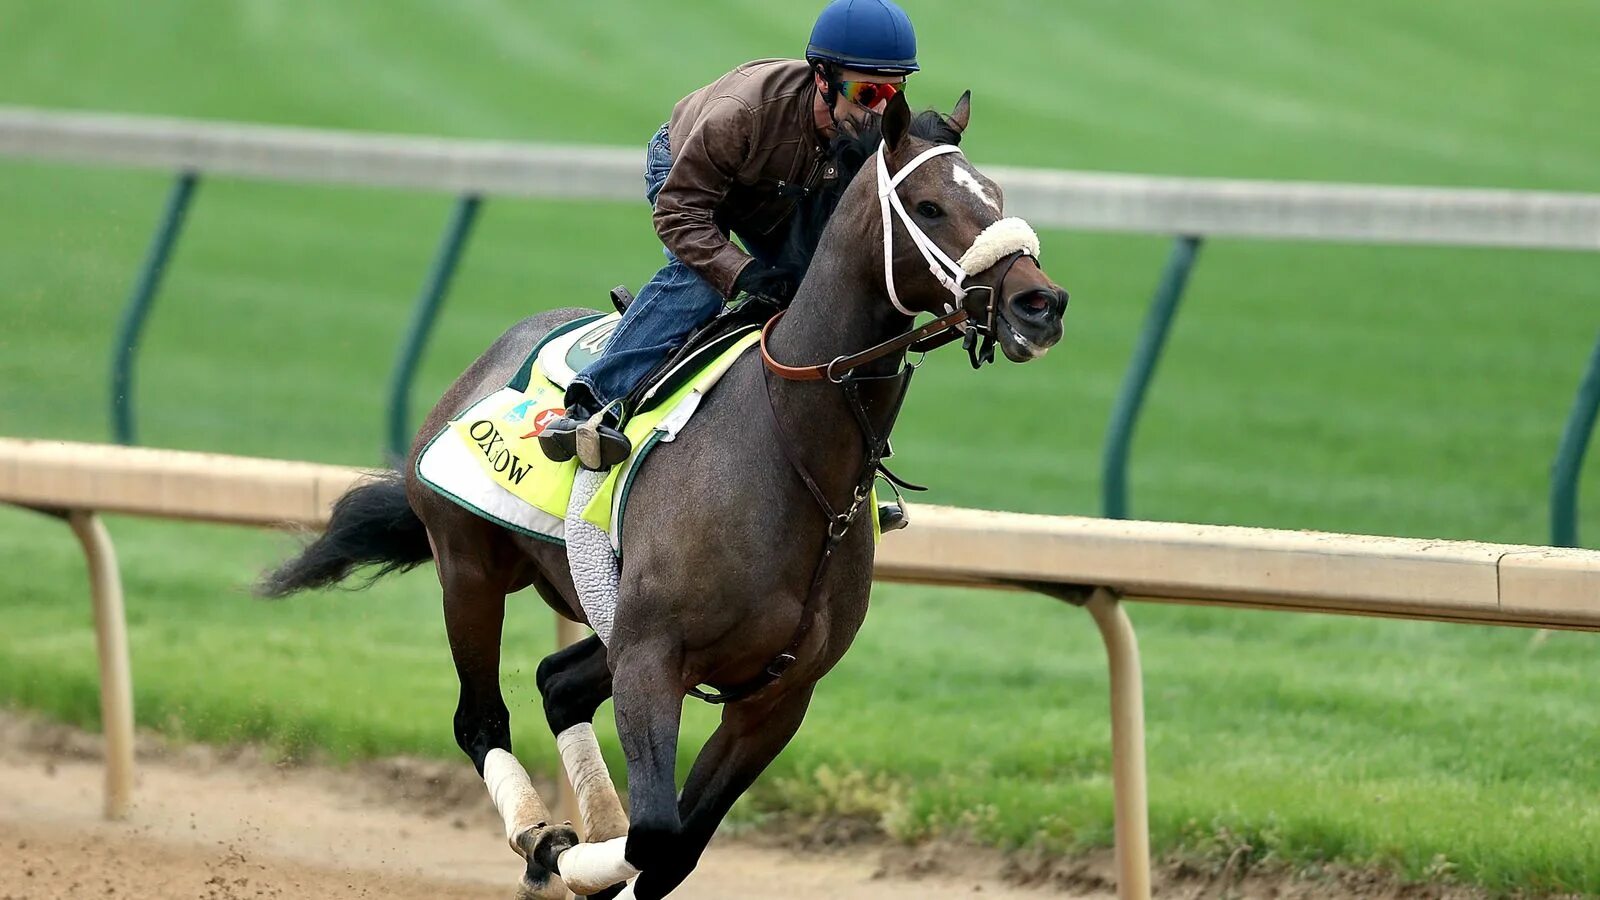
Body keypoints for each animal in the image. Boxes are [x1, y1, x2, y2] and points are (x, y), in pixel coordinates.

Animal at [259, 92, 1062, 896]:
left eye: (996, 198)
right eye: (929, 206)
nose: (1040, 303)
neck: (792, 455)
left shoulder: (776, 698)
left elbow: (676, 848)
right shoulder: (652, 661)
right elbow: (653, 834)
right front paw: (571, 853)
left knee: (558, 683)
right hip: (471, 568)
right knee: (480, 720)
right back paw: (542, 836)